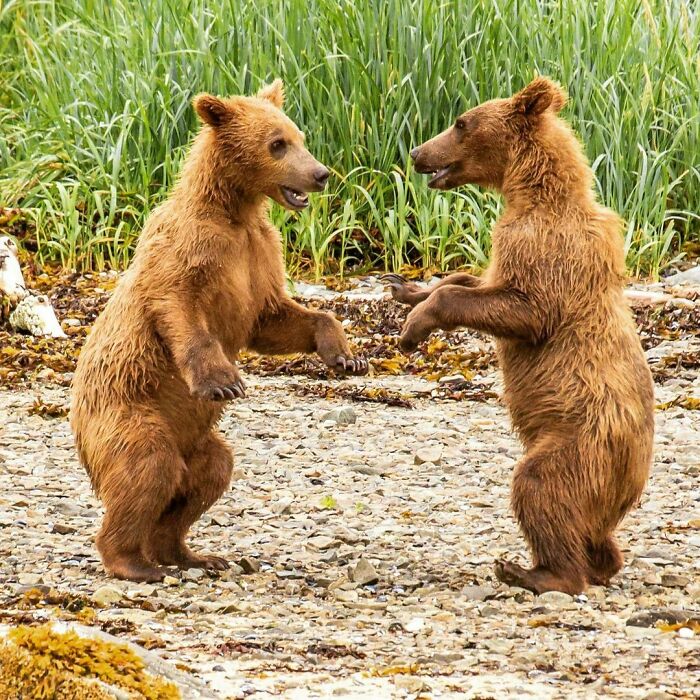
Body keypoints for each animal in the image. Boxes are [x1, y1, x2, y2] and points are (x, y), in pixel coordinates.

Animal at [70, 79, 367, 582]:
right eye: (277, 144)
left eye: (300, 136)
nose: (321, 174)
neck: (235, 211)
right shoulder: (191, 250)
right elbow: (180, 309)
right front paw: (223, 382)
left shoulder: (258, 253)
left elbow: (274, 318)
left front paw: (345, 355)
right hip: (126, 413)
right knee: (146, 467)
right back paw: (133, 562)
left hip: (196, 441)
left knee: (209, 474)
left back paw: (189, 553)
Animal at [385, 77, 654, 595]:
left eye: (461, 122)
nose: (417, 152)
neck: (530, 193)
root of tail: (633, 478)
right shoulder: (506, 252)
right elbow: (470, 281)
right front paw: (406, 289)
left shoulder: (546, 251)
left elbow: (522, 309)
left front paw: (413, 327)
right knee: (595, 534)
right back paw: (598, 562)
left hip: (580, 442)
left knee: (539, 486)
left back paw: (534, 572)